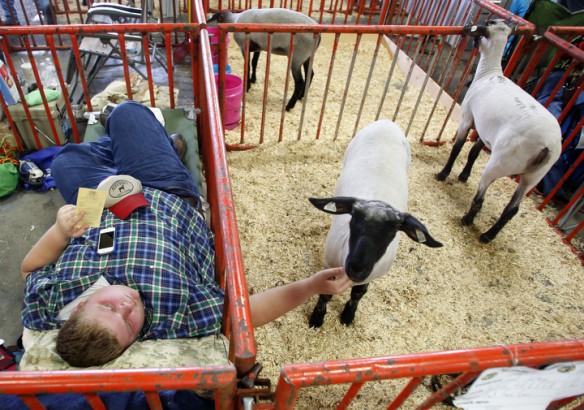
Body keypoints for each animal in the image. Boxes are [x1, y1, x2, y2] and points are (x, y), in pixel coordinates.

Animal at [308, 120, 440, 328]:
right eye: (353, 218)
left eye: (394, 230)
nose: (357, 267)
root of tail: (387, 121)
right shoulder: (329, 264)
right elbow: (325, 293)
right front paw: (317, 318)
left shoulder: (371, 277)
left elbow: (358, 294)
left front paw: (348, 315)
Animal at [436, 19, 564, 242]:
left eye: (483, 26)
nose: (465, 28)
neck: (490, 72)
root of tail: (546, 147)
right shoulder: (486, 133)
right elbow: (473, 151)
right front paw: (464, 175)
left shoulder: (467, 118)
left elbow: (457, 148)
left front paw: (444, 174)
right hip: (534, 176)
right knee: (512, 209)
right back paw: (489, 235)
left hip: (501, 163)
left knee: (481, 197)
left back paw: (467, 220)